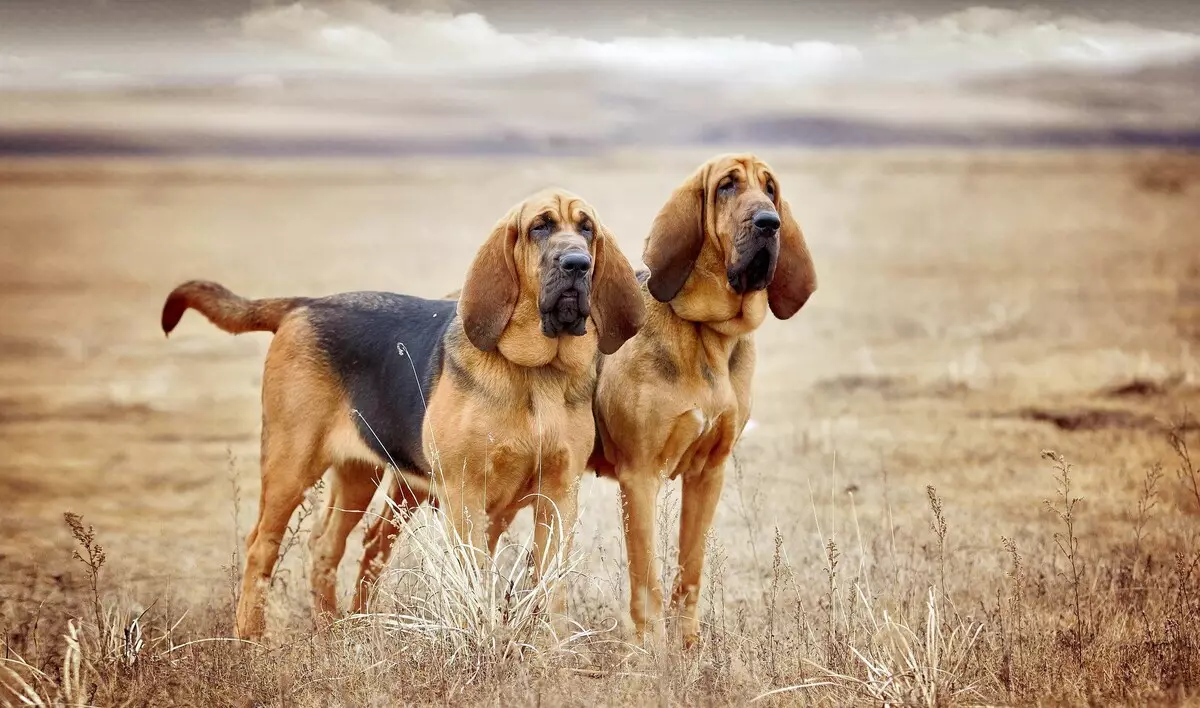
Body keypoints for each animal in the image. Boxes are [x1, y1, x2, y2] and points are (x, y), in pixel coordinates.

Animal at [163, 187, 648, 638]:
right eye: (540, 227)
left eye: (587, 229)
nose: (577, 264)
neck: (535, 372)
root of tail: (305, 304)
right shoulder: (466, 494)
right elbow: (474, 577)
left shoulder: (558, 495)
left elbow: (550, 587)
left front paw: (550, 650)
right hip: (291, 468)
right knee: (261, 545)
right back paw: (251, 636)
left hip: (360, 476)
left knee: (327, 545)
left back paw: (332, 628)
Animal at [590, 153, 816, 648]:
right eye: (727, 186)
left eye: (770, 188)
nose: (769, 222)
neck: (707, 335)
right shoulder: (639, 477)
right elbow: (647, 580)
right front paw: (652, 651)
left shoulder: (709, 473)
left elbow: (689, 570)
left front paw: (688, 645)